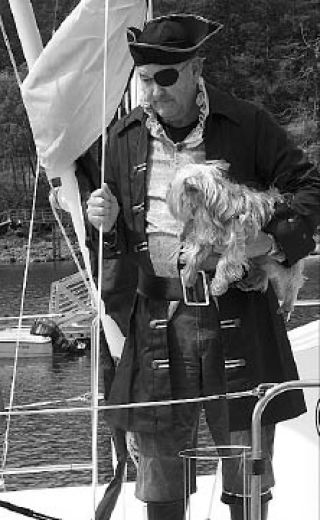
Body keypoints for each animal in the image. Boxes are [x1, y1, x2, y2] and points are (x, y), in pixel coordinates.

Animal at [168, 160, 304, 318]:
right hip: (263, 258)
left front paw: (217, 285)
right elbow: (195, 254)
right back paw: (252, 281)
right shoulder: (207, 237)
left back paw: (287, 304)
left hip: (284, 260)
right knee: (264, 271)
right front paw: (189, 274)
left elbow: (225, 262)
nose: (166, 189)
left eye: (171, 186)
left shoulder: (237, 242)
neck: (212, 207)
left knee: (293, 280)